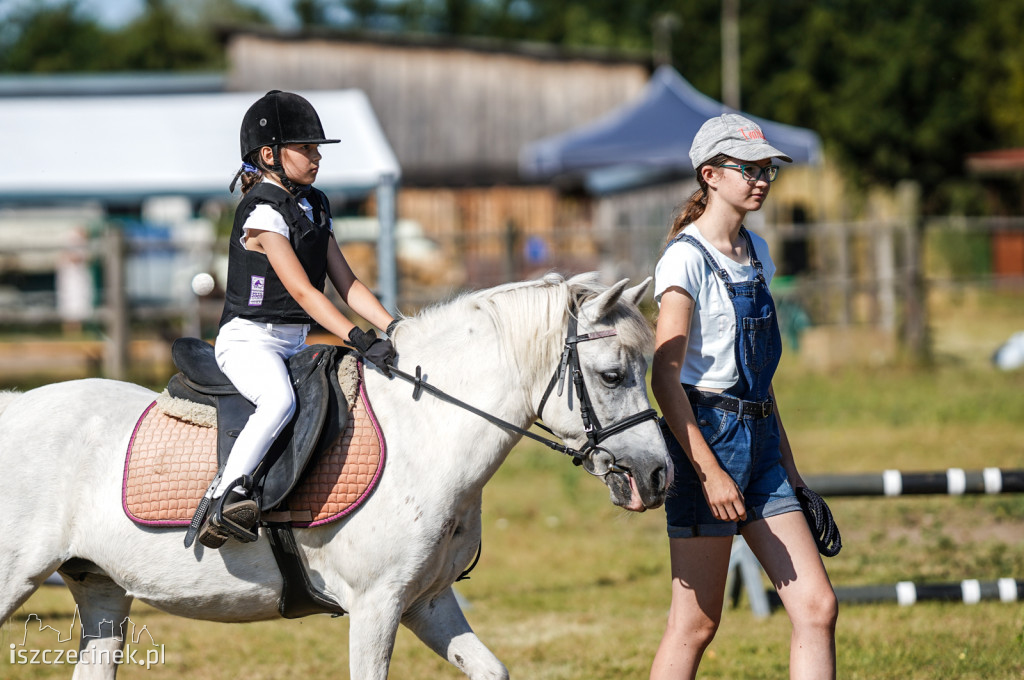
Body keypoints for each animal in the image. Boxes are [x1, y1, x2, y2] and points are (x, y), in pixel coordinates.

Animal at [0, 272, 671, 680]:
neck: (423, 429)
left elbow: (490, 668)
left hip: (101, 590)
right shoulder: (376, 605)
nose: (658, 475)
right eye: (613, 375)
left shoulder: (427, 602)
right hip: (16, 580)